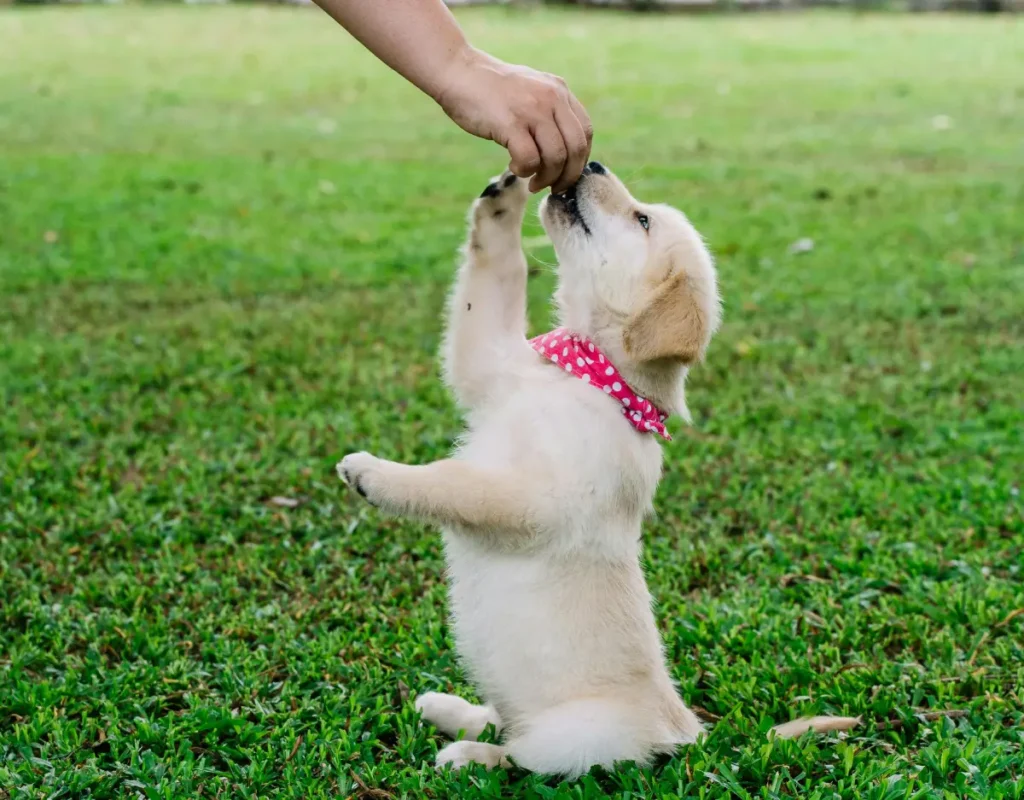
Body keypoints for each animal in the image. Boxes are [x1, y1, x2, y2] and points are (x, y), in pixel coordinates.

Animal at [339, 163, 851, 774]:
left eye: (642, 219)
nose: (592, 164)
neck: (588, 374)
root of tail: (690, 734)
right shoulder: (487, 364)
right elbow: (497, 278)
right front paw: (501, 204)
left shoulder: (534, 499)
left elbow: (454, 483)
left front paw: (374, 473)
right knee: (502, 719)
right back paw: (449, 708)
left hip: (573, 738)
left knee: (520, 756)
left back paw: (467, 753)